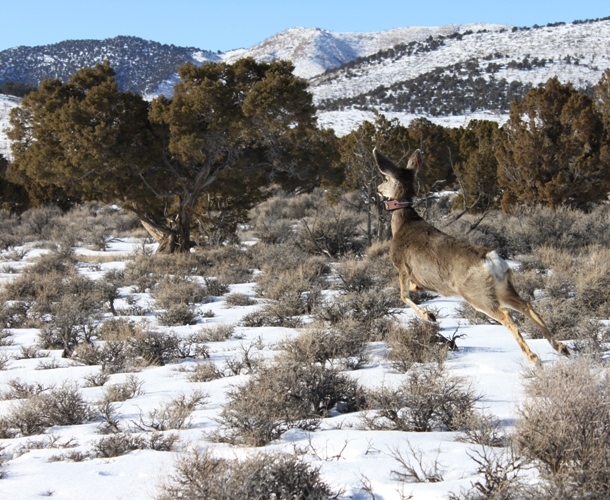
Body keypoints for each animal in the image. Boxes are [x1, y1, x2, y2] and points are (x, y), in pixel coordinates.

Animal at [372, 146, 568, 366]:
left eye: (385, 178)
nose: (378, 188)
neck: (403, 224)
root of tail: (492, 261)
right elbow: (415, 288)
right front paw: (423, 295)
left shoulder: (402, 266)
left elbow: (403, 295)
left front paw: (429, 315)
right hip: (502, 288)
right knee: (526, 304)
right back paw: (561, 347)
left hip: (476, 293)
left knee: (506, 315)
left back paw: (534, 357)